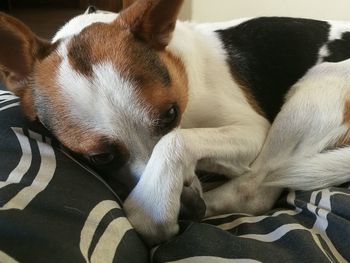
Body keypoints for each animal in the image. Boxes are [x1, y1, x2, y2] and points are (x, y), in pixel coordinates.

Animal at [1, 0, 350, 248]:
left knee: (254, 190)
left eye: (171, 114)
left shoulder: (252, 129)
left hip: (318, 86)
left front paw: (151, 208)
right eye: (101, 157)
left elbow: (178, 140)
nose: (190, 211)